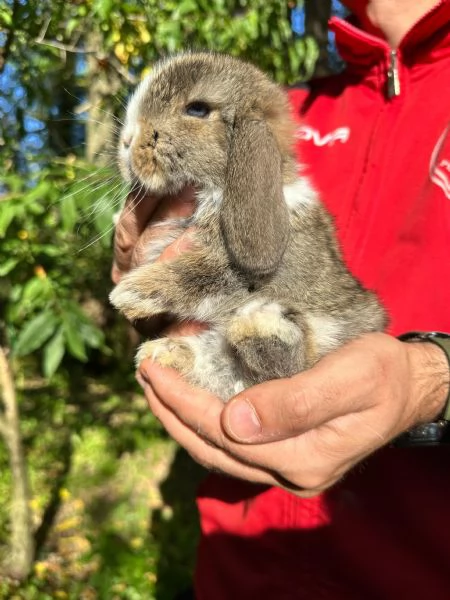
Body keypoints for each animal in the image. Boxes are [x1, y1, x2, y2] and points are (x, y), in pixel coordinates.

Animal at [110, 50, 386, 398]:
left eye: (197, 109)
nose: (127, 141)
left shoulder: (239, 272)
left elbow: (195, 276)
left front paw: (127, 294)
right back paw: (164, 351)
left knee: (285, 367)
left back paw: (261, 329)